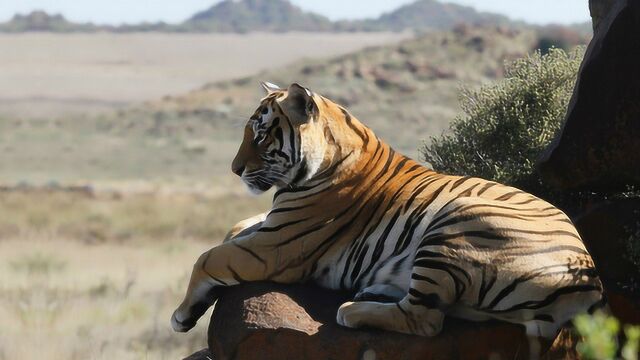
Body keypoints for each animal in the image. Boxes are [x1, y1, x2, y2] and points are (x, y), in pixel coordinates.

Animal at [170, 82, 600, 340]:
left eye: (259, 136)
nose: (234, 169)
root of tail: (590, 281)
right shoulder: (272, 226)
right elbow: (235, 227)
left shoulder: (276, 246)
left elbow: (208, 257)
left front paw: (182, 315)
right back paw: (374, 290)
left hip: (454, 225)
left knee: (426, 320)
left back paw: (353, 309)